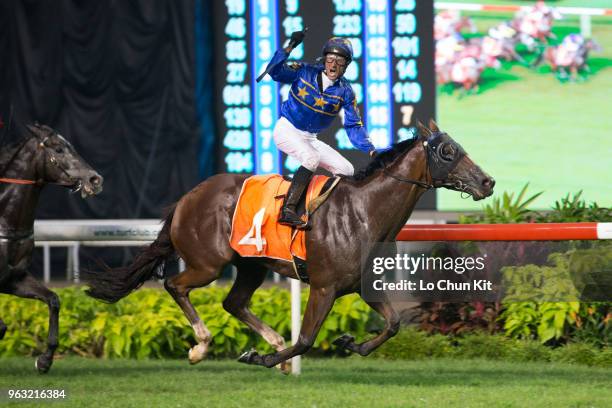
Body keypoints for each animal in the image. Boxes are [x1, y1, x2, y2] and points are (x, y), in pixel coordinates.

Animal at [83, 121, 494, 372]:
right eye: (447, 152)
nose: (487, 181)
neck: (364, 212)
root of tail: (188, 197)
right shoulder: (325, 287)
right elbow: (306, 339)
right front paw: (262, 358)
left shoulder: (363, 286)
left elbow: (393, 325)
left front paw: (350, 343)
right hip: (207, 263)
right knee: (175, 285)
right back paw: (201, 345)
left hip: (251, 265)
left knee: (233, 302)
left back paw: (267, 339)